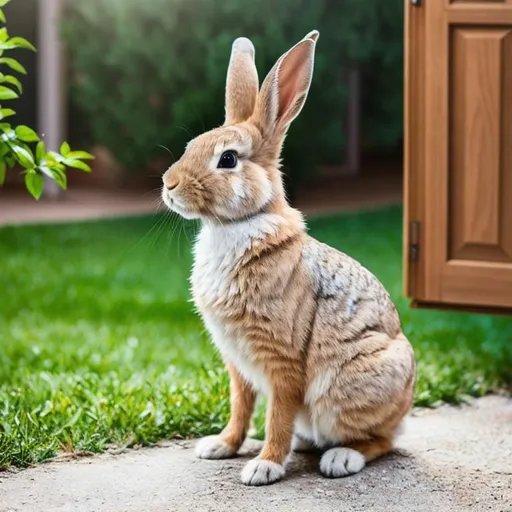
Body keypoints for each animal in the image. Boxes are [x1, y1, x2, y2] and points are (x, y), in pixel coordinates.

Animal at [161, 30, 416, 486]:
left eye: (228, 159)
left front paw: (263, 467)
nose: (168, 185)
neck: (241, 224)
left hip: (347, 389)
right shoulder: (238, 364)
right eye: (191, 146)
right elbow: (241, 407)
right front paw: (221, 446)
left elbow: (278, 415)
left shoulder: (283, 360)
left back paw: (341, 459)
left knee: (382, 440)